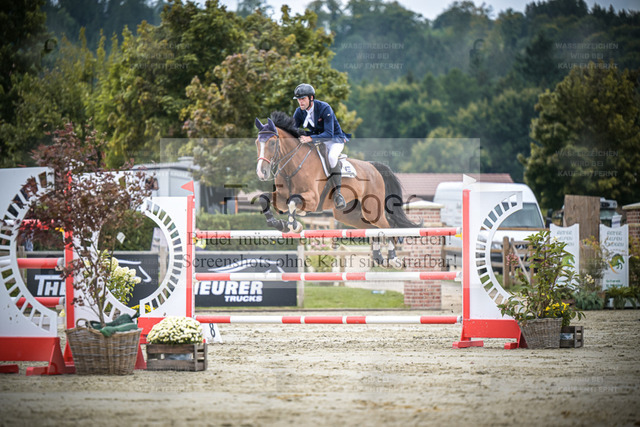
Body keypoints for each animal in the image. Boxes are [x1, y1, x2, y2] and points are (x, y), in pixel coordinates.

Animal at [254, 111, 419, 267]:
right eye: (257, 143)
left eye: (272, 143)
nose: (261, 173)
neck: (293, 165)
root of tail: (373, 167)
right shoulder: (281, 198)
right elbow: (264, 198)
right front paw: (277, 224)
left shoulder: (312, 199)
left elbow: (293, 202)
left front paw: (295, 225)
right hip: (349, 215)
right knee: (372, 228)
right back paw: (378, 256)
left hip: (372, 209)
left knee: (388, 226)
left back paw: (393, 259)